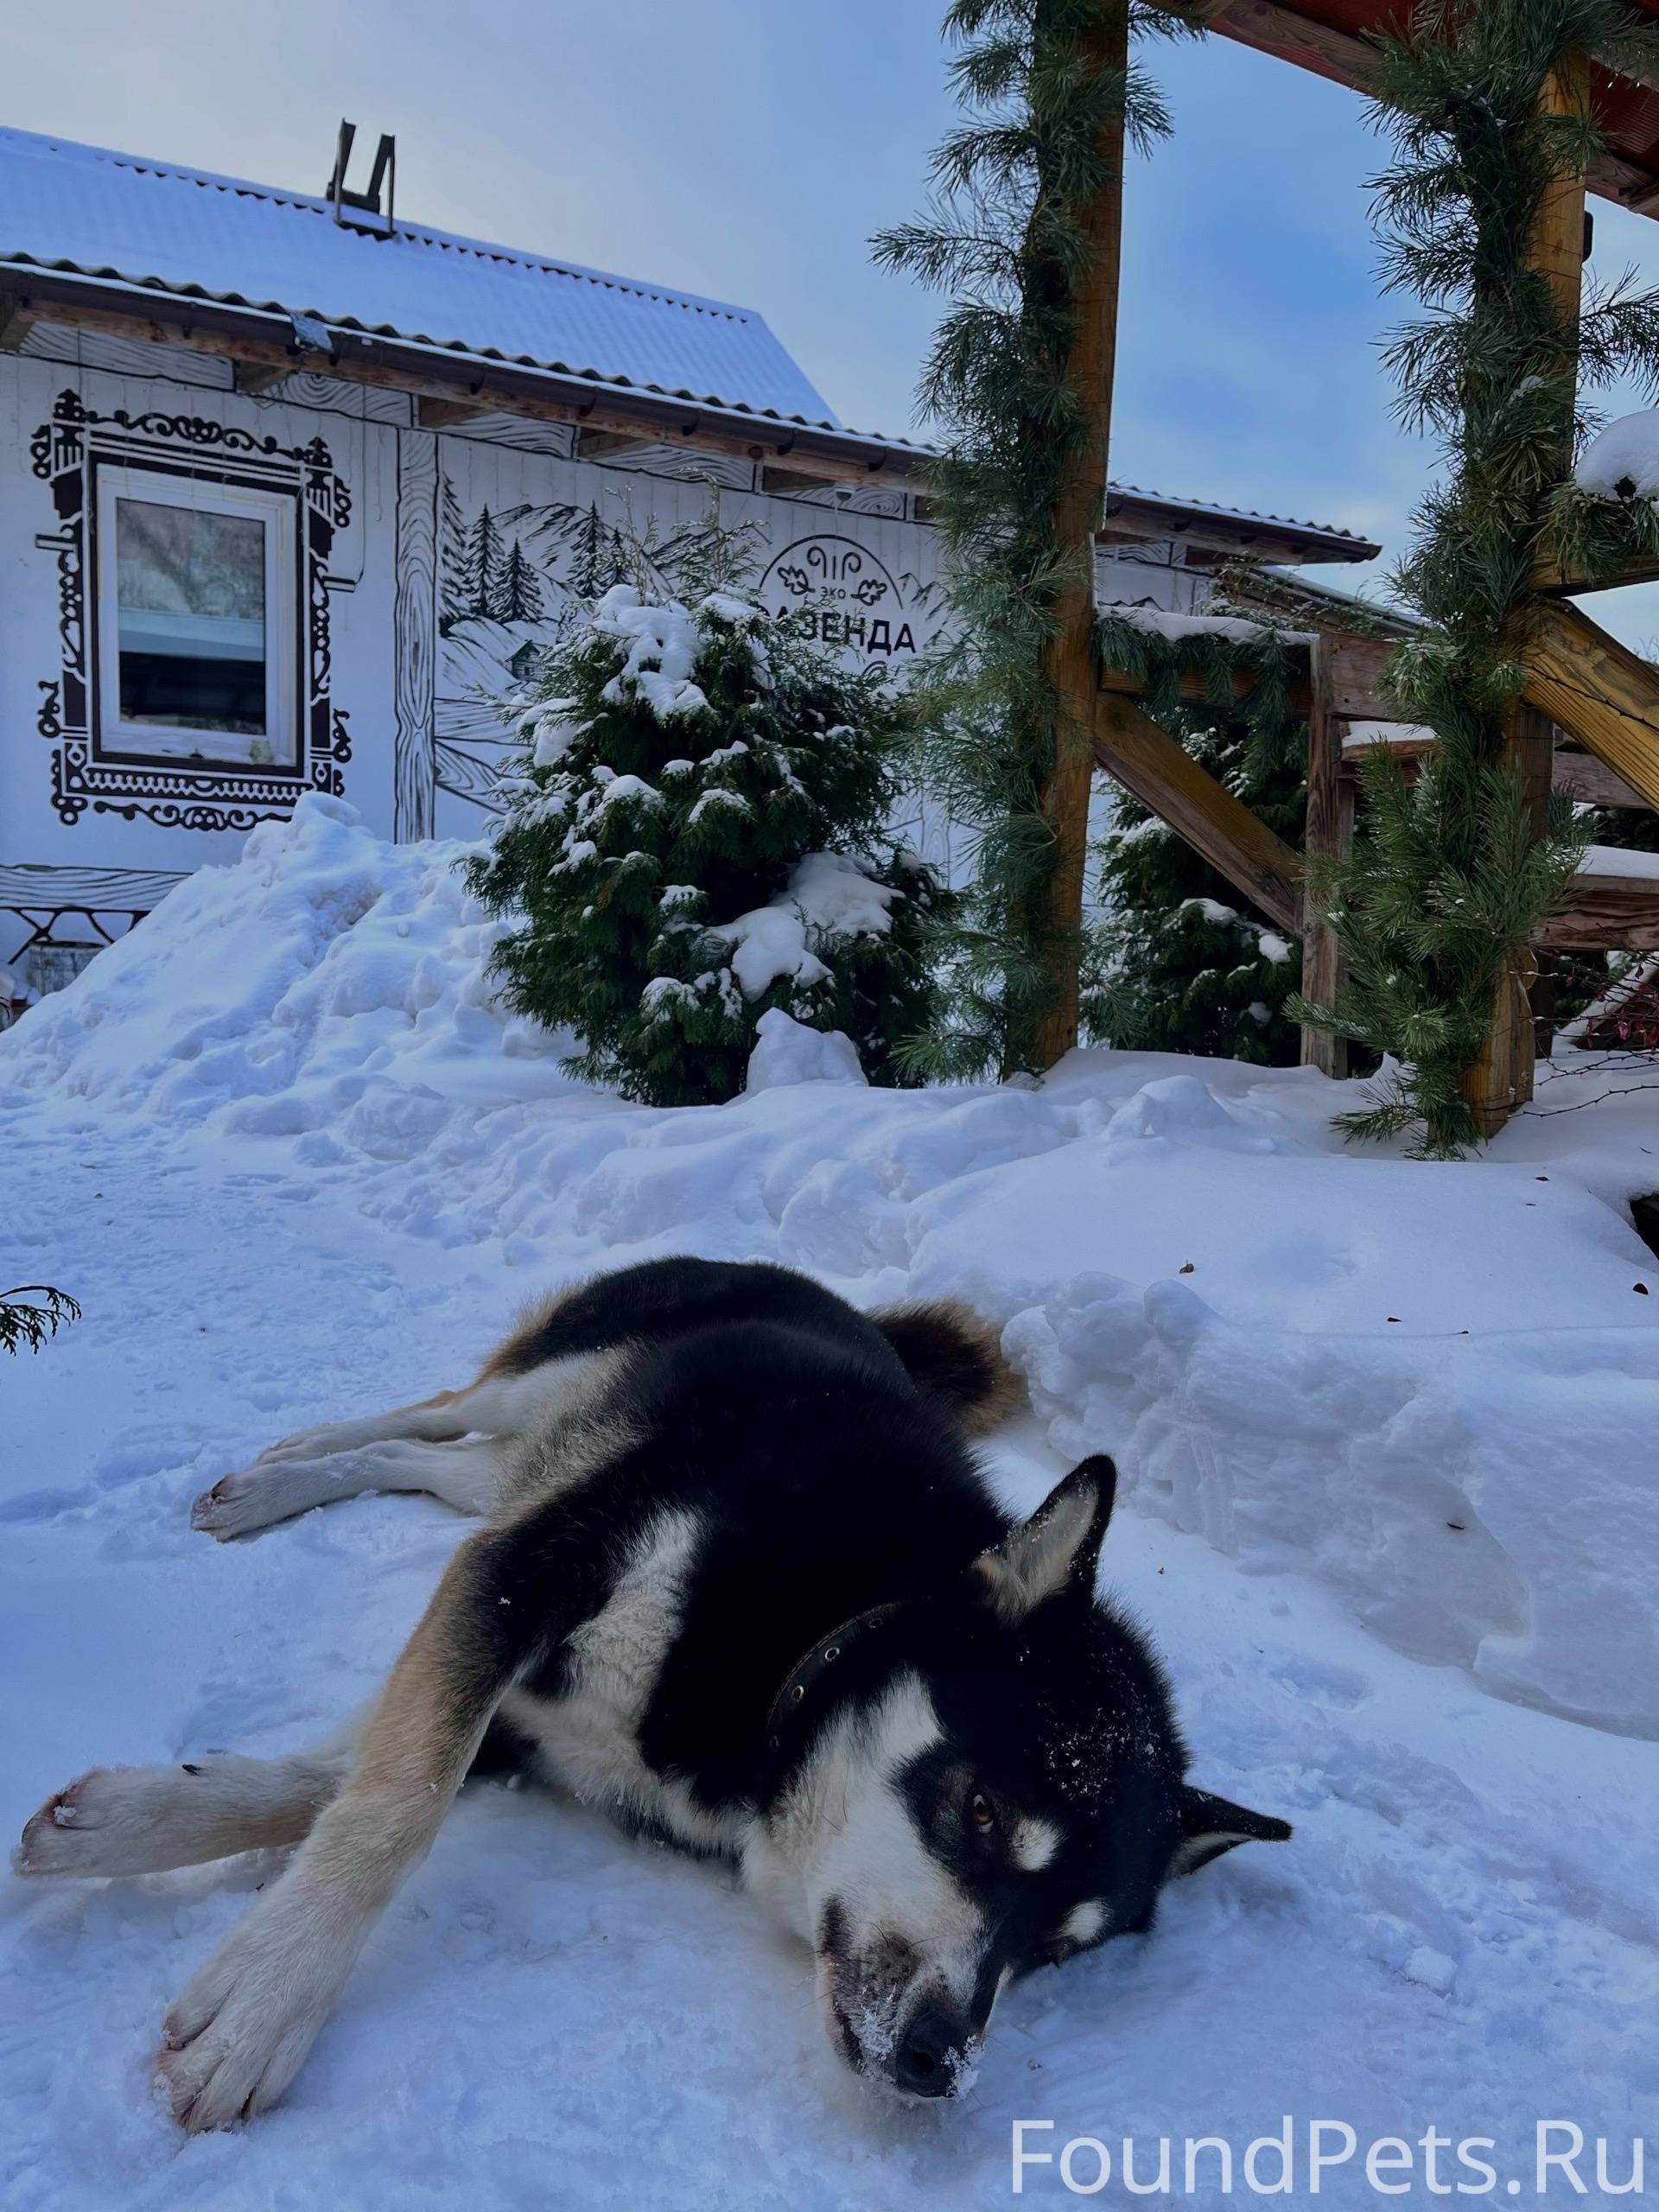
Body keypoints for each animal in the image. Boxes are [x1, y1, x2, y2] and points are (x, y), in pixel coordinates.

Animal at [13, 1265, 1292, 2123]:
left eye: (1059, 1949)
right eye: (978, 1813)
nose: (942, 2059)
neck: (806, 1634)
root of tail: (835, 1295)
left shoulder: (524, 1680)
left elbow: (346, 1775)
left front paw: (132, 1820)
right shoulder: (524, 1575)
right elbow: (397, 1798)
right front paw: (263, 2004)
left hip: (534, 1453)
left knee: (431, 1466)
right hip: (553, 1384)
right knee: (428, 1411)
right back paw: (279, 1468)